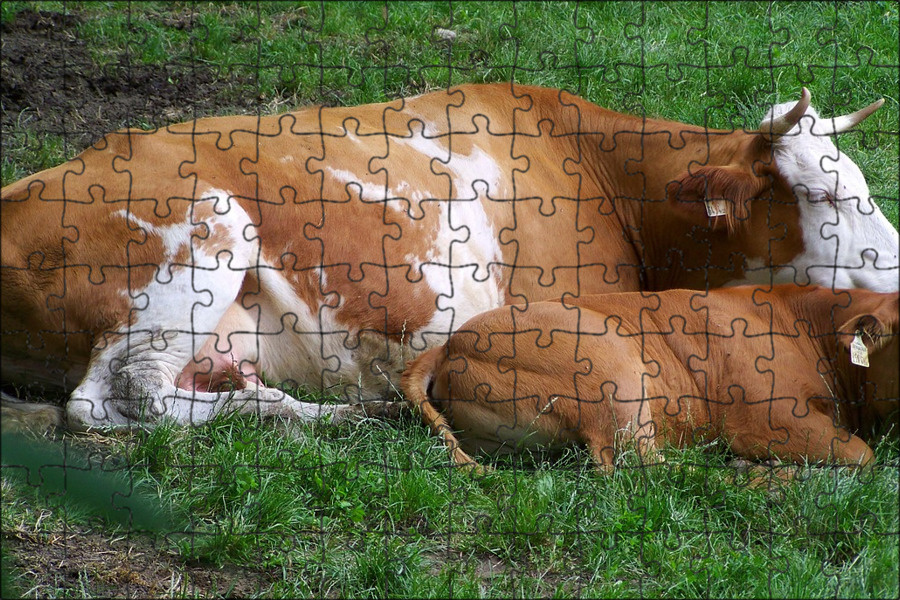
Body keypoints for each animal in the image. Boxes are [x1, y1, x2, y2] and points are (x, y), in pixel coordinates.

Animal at [3, 85, 896, 432]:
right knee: (116, 398)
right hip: (205, 237)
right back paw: (336, 415)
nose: (895, 269)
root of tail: (24, 186)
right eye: (824, 196)